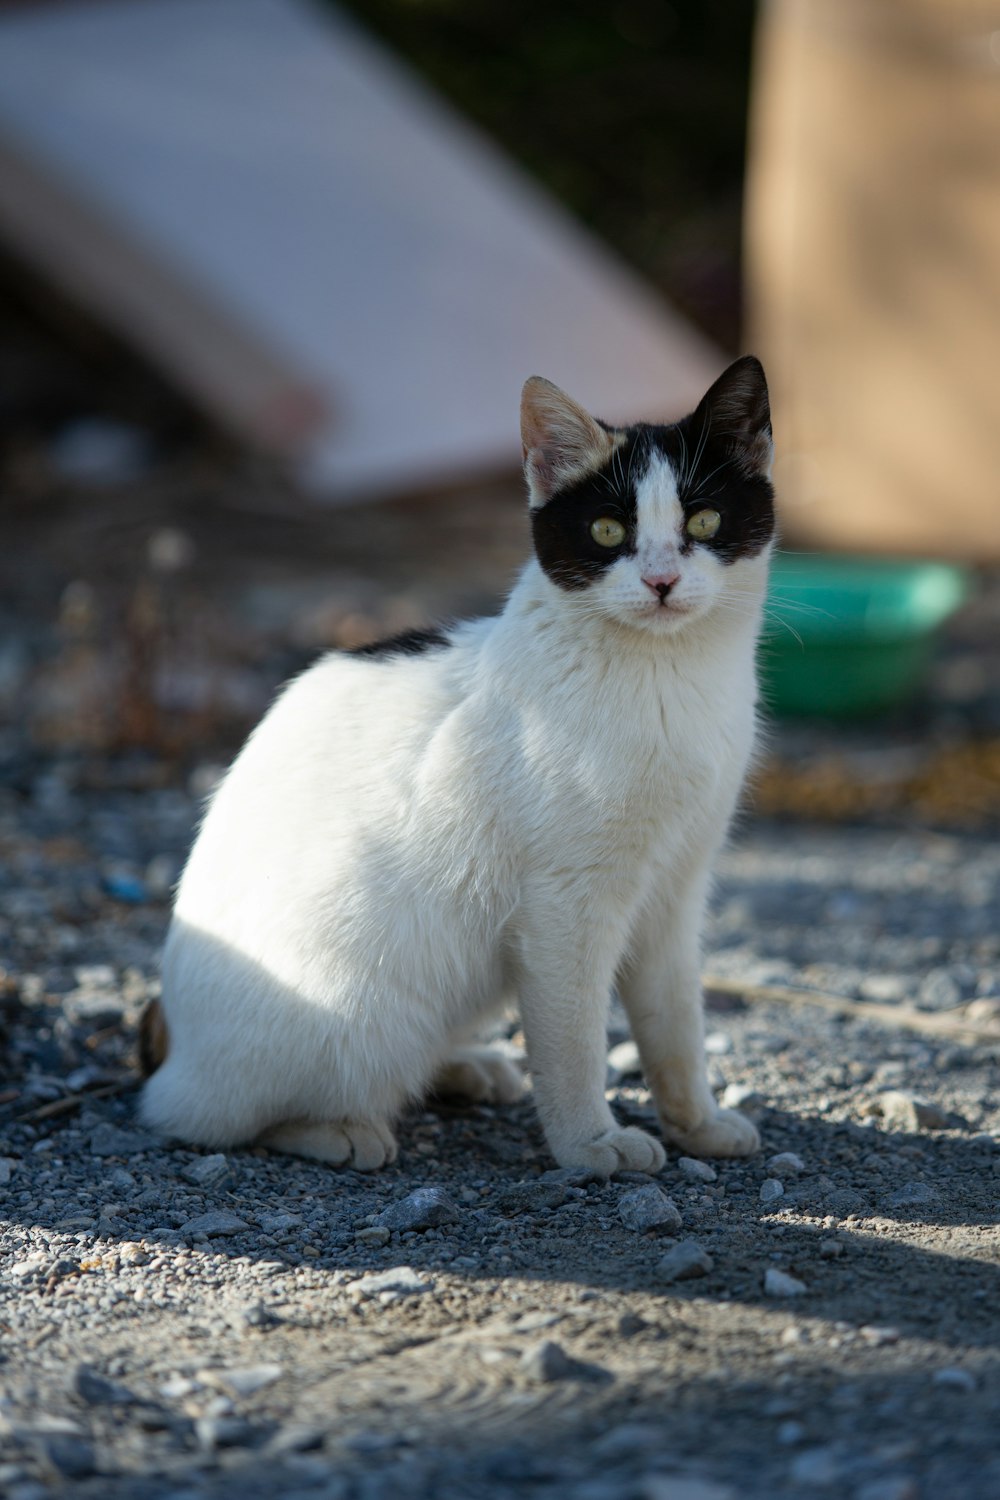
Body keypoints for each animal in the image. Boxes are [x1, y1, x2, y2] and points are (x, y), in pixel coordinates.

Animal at [140, 357, 779, 1176]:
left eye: (704, 523)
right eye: (608, 530)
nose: (662, 582)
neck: (669, 680)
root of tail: (174, 1052)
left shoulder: (675, 891)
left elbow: (676, 1025)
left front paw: (696, 1124)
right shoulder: (565, 908)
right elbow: (574, 1041)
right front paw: (589, 1143)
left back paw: (464, 1069)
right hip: (366, 1008)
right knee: (219, 1118)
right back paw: (342, 1130)